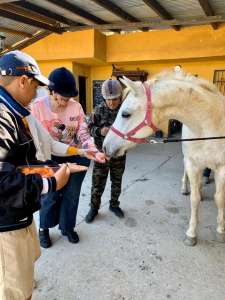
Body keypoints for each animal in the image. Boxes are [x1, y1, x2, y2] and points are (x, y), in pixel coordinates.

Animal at [103, 71, 225, 246]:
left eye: (125, 114)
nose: (105, 147)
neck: (209, 124)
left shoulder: (222, 167)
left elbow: (219, 199)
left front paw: (221, 231)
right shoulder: (193, 164)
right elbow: (194, 200)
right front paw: (191, 234)